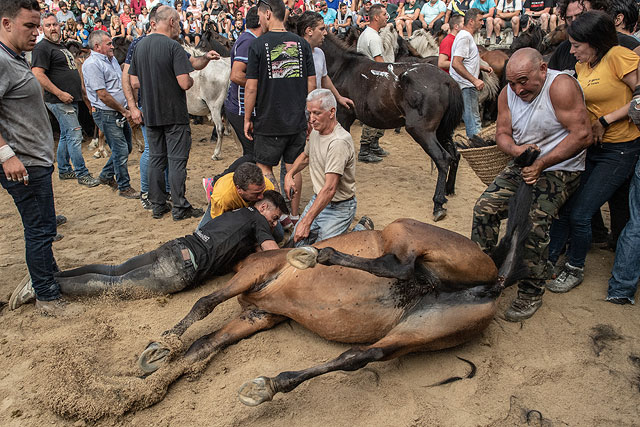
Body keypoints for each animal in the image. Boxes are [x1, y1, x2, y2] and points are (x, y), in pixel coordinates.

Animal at [322, 33, 462, 221]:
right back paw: (449, 189)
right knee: (455, 155)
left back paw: (438, 204)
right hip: (442, 131)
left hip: (422, 131)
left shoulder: (342, 116)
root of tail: (448, 81)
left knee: (443, 158)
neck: (342, 67)